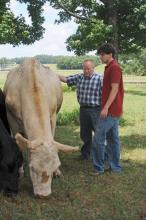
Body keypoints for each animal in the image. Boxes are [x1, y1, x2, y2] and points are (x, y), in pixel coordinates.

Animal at [3, 58, 78, 198]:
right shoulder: (11, 119)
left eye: (56, 165)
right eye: (32, 167)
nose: (43, 195)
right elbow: (18, 145)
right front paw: (20, 170)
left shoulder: (53, 115)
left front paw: (57, 172)